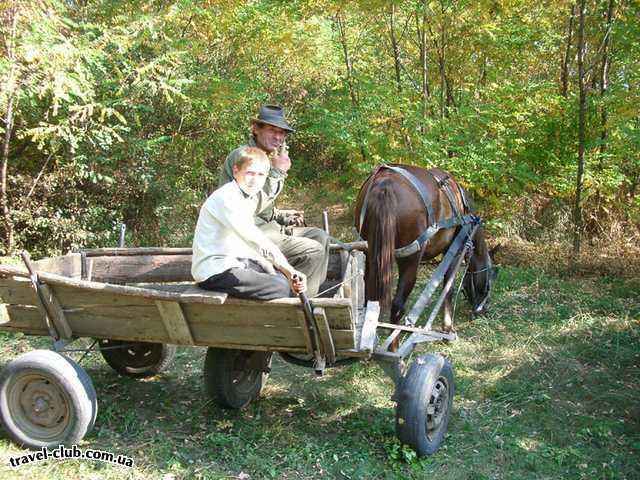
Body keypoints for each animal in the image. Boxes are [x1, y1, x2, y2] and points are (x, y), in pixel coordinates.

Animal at [356, 165, 496, 334]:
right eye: (489, 280)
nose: (484, 309)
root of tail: (385, 183)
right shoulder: (454, 250)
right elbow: (448, 287)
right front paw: (447, 327)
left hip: (369, 254)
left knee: (368, 298)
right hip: (410, 260)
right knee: (397, 305)